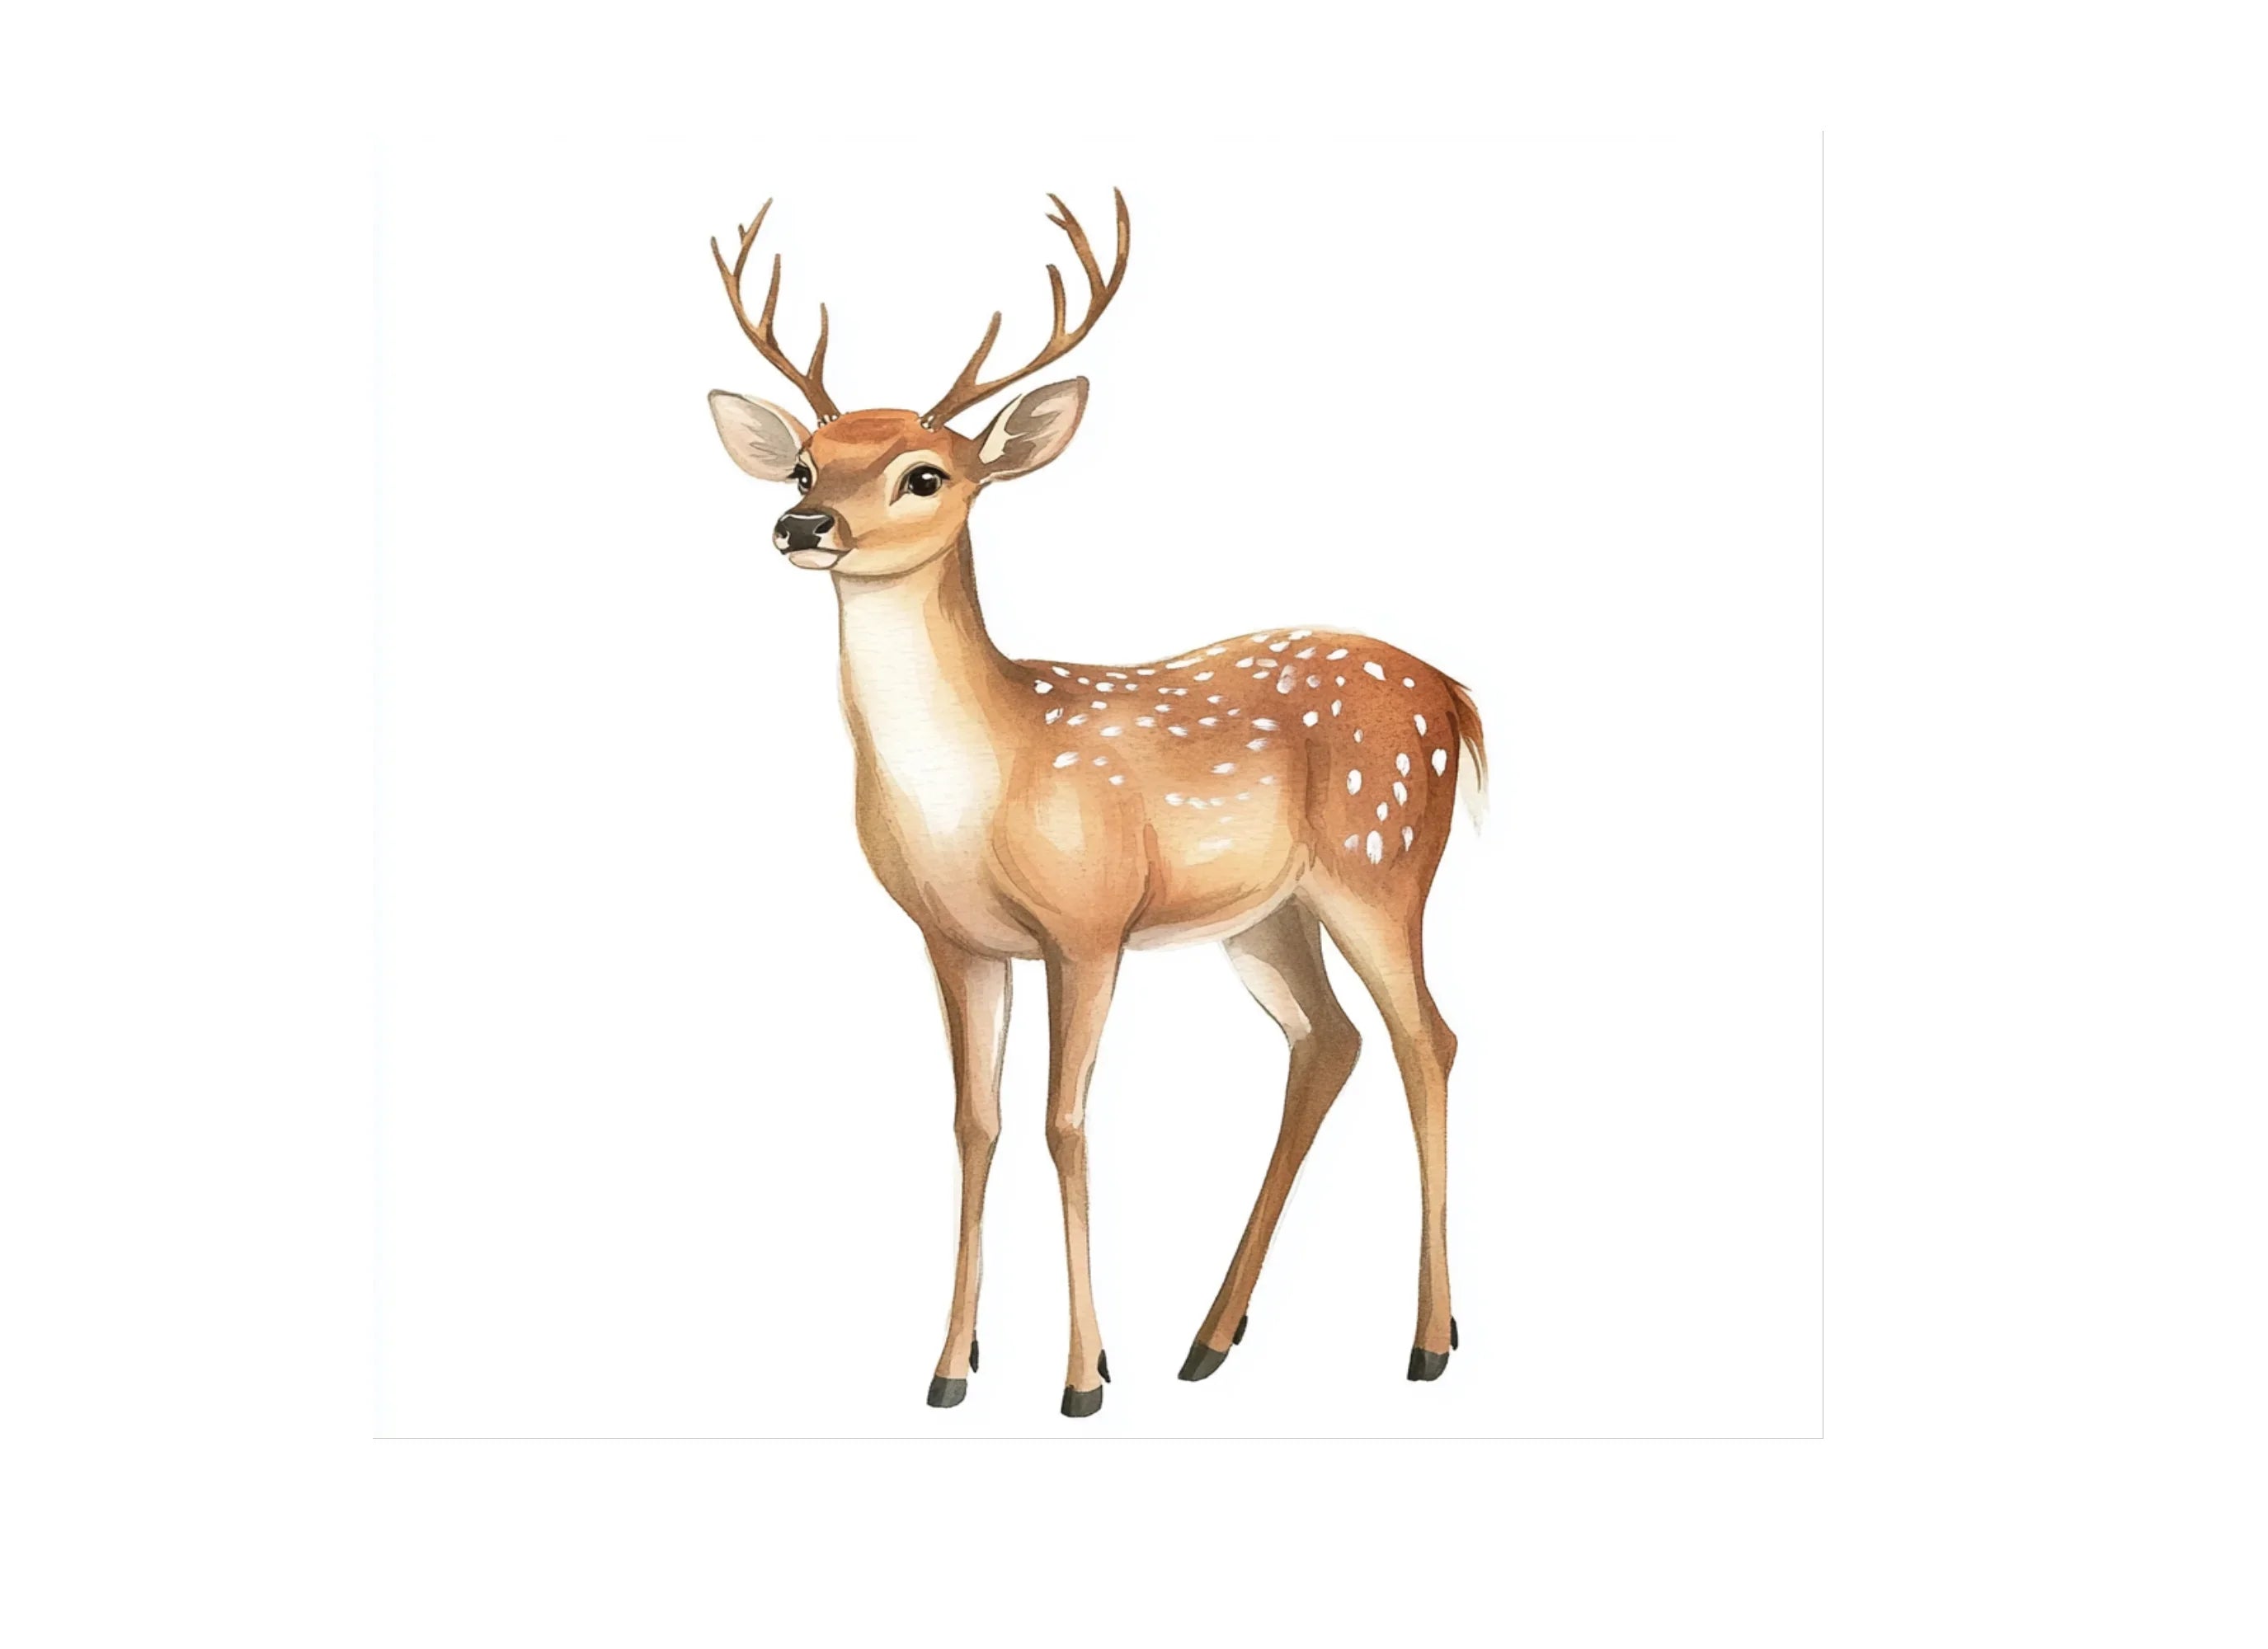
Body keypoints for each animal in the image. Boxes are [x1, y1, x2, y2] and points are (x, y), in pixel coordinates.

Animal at [705, 191, 1485, 1418]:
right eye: (801, 466)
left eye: (924, 473)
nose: (801, 529)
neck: (982, 782)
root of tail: (1451, 691)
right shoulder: (956, 938)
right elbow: (973, 1123)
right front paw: (952, 1367)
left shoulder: (1087, 924)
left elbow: (1062, 1124)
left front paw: (1080, 1378)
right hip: (1267, 916)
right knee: (1327, 1043)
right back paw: (1208, 1339)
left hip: (1384, 858)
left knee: (1429, 1042)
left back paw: (1428, 1342)